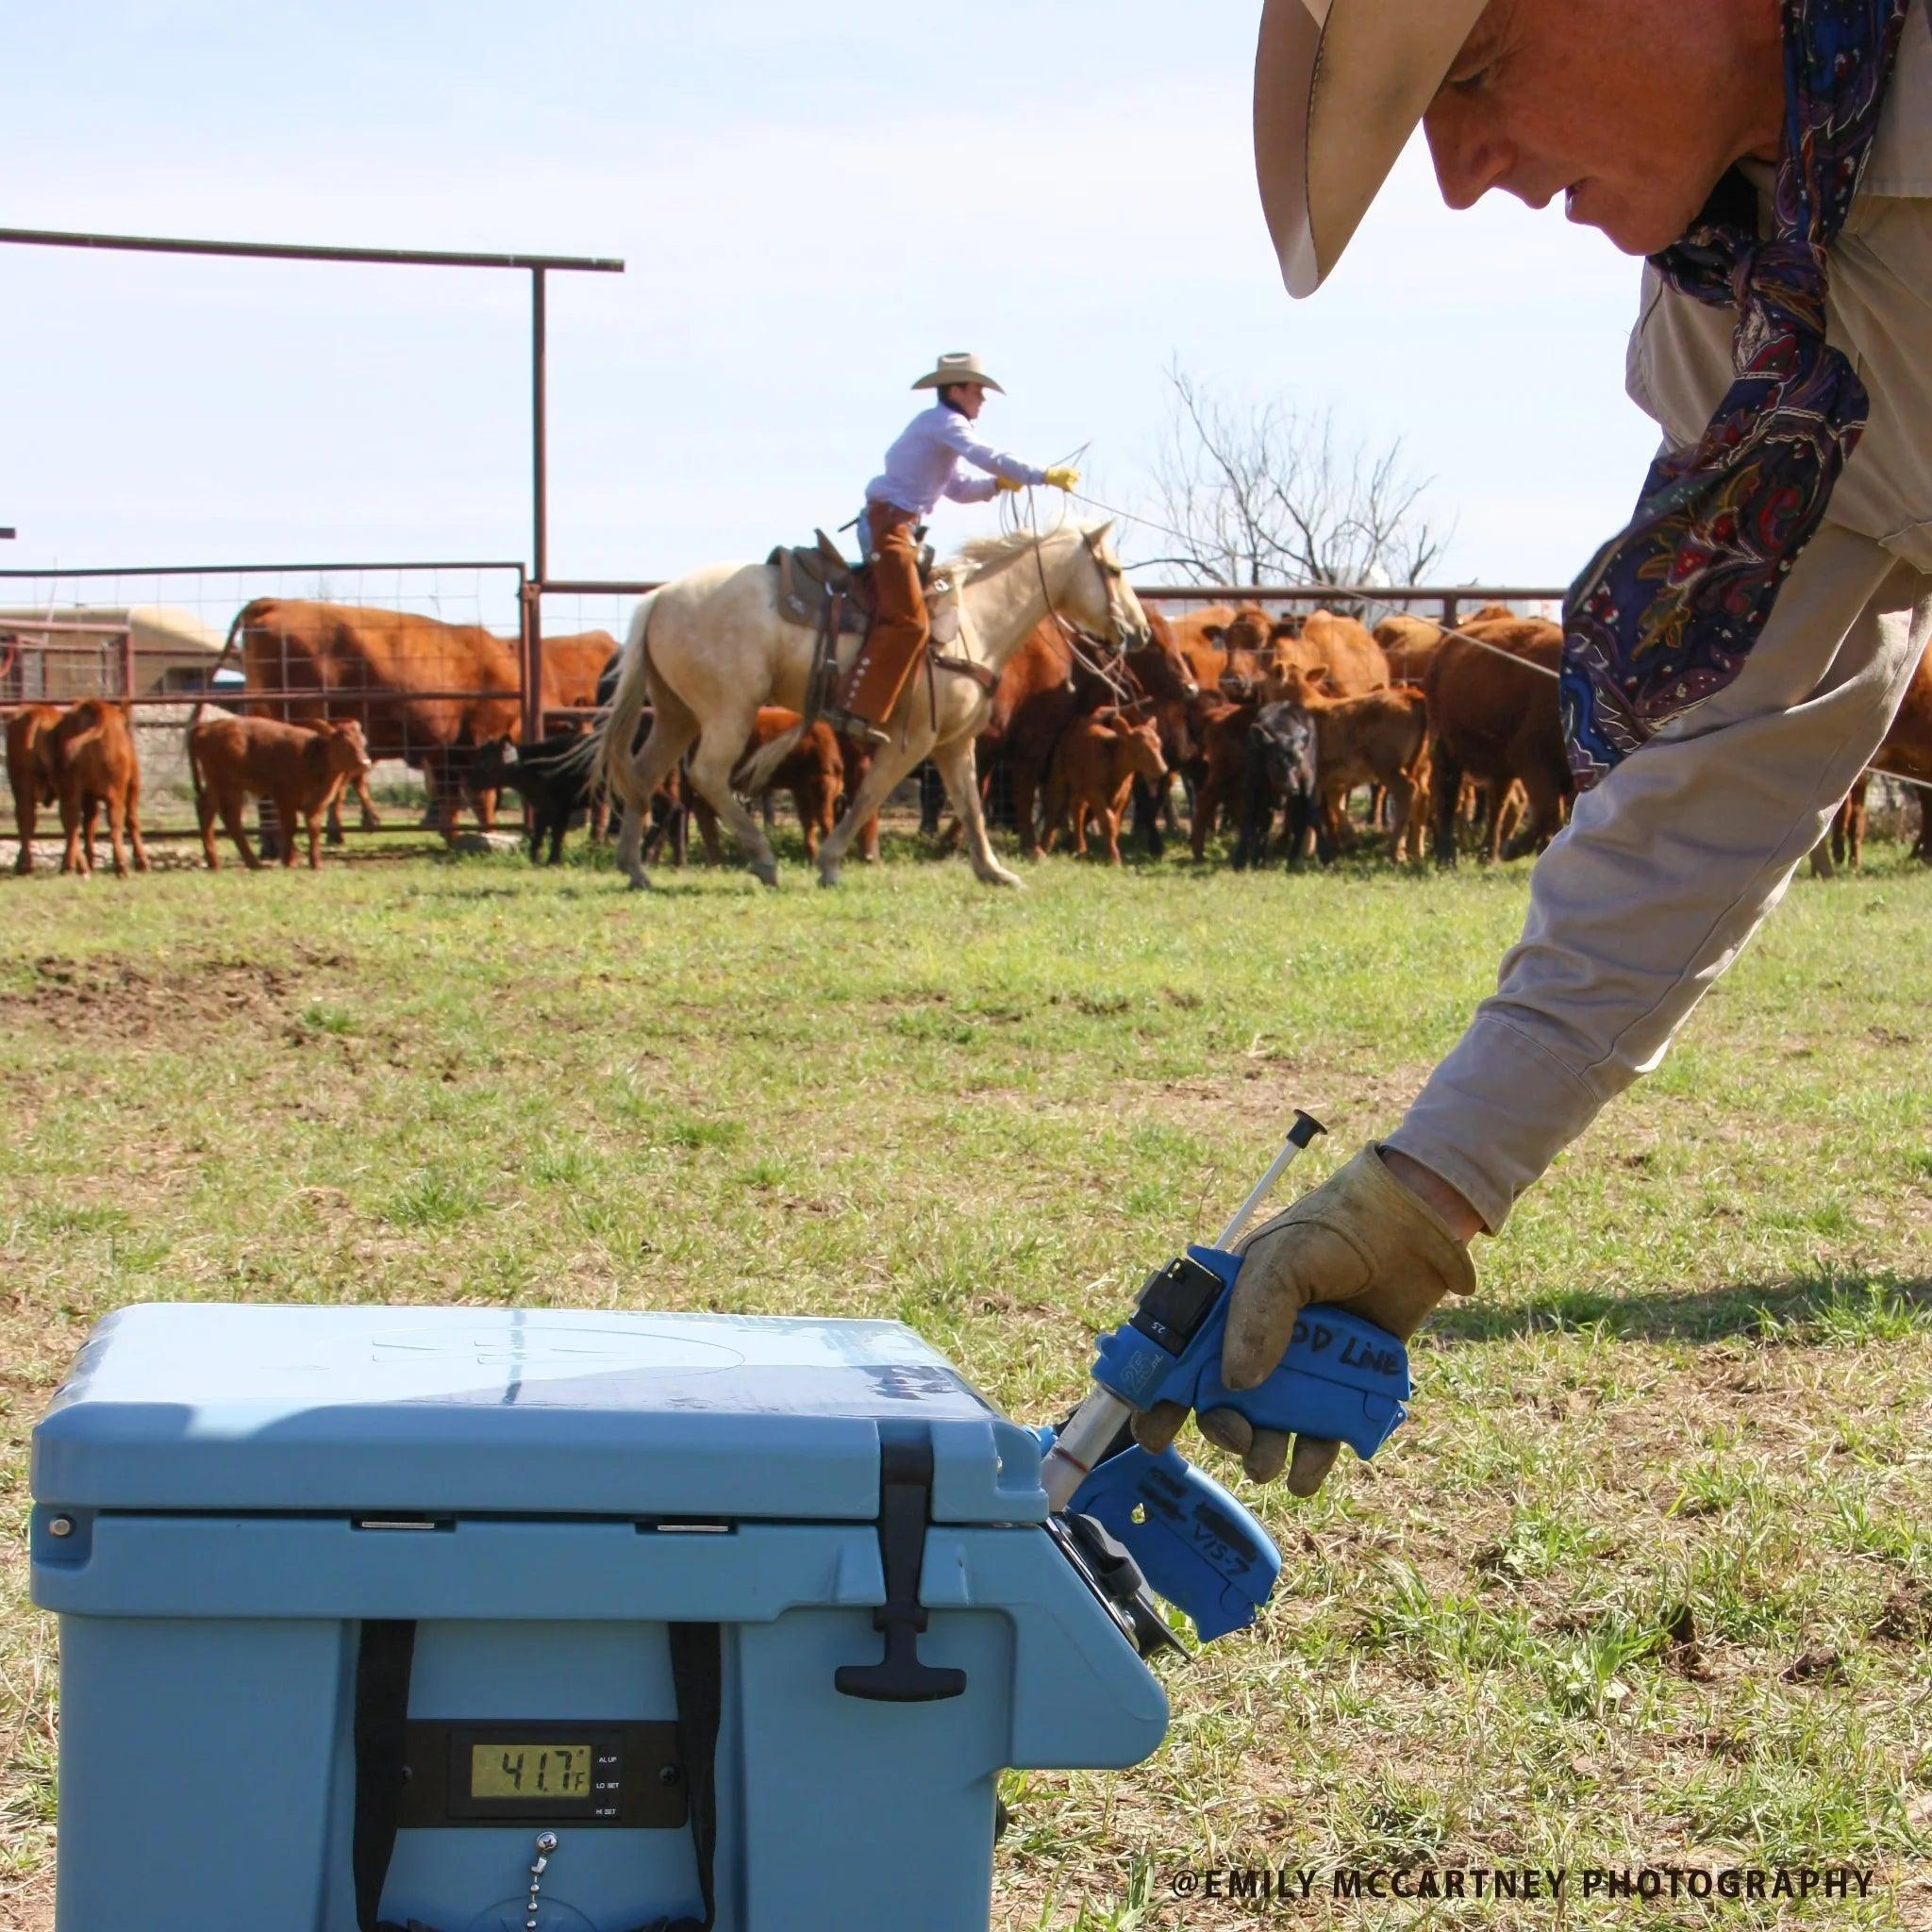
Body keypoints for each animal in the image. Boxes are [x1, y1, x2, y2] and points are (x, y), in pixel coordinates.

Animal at [51, 702, 149, 878]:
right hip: (116, 790)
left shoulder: (88, 796)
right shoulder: (133, 786)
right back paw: (121, 866)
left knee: (71, 821)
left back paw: (70, 866)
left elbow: (90, 825)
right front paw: (142, 862)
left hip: (70, 788)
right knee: (115, 822)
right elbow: (132, 820)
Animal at [187, 713, 374, 871]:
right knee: (231, 818)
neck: (313, 755)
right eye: (344, 742)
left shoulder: (317, 803)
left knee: (206, 810)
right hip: (230, 787)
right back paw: (253, 863)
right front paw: (289, 861)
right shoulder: (284, 797)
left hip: (216, 785)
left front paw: (316, 863)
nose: (365, 762)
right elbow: (290, 826)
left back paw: (215, 862)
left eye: (363, 742)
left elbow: (314, 828)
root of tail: (206, 727)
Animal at [1041, 707, 1168, 864]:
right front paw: (1114, 858)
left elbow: (1115, 824)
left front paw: (1108, 853)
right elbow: (1108, 822)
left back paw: (1080, 848)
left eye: (1159, 744)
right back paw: (1044, 847)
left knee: (1078, 810)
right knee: (1054, 808)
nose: (1163, 769)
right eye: (1139, 748)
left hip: (1080, 787)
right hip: (1059, 776)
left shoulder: (1125, 795)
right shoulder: (1095, 792)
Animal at [1234, 701, 1325, 870]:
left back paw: (1293, 861)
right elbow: (1251, 820)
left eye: (1298, 762)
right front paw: (1242, 859)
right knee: (1267, 823)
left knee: (1301, 822)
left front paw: (1326, 855)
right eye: (1276, 762)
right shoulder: (1252, 785)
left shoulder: (1307, 784)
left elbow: (1312, 816)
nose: (1293, 787)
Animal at [1424, 618, 1571, 864]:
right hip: (1446, 745)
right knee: (1447, 793)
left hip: (1500, 766)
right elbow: (1549, 812)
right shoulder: (1531, 757)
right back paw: (1447, 856)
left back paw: (1489, 854)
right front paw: (1512, 849)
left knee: (1497, 805)